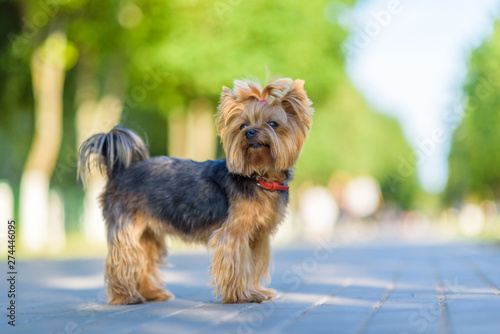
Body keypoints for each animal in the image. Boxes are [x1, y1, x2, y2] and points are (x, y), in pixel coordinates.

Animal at [77, 77, 312, 304]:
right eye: (242, 125)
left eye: (273, 123)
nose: (250, 132)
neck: (260, 177)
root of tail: (120, 170)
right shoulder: (233, 234)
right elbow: (237, 265)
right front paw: (243, 295)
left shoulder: (257, 236)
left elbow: (253, 266)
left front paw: (256, 290)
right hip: (127, 224)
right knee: (122, 259)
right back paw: (125, 297)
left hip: (148, 232)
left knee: (144, 258)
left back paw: (151, 293)